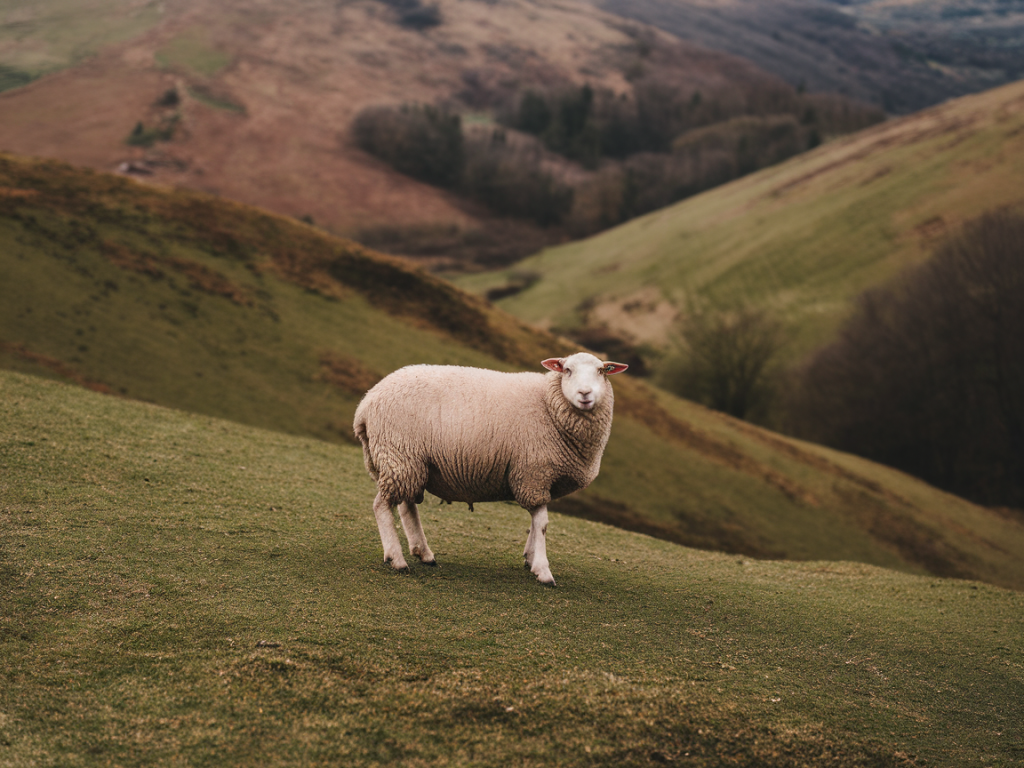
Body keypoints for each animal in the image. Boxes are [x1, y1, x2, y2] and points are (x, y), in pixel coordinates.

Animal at [352, 354, 626, 589]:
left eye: (601, 371)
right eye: (567, 370)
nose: (585, 394)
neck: (548, 404)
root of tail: (365, 404)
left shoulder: (540, 478)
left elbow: (536, 522)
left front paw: (530, 557)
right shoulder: (533, 472)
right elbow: (542, 524)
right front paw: (543, 571)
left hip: (412, 462)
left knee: (407, 506)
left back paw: (424, 553)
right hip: (398, 453)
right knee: (381, 506)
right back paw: (397, 559)